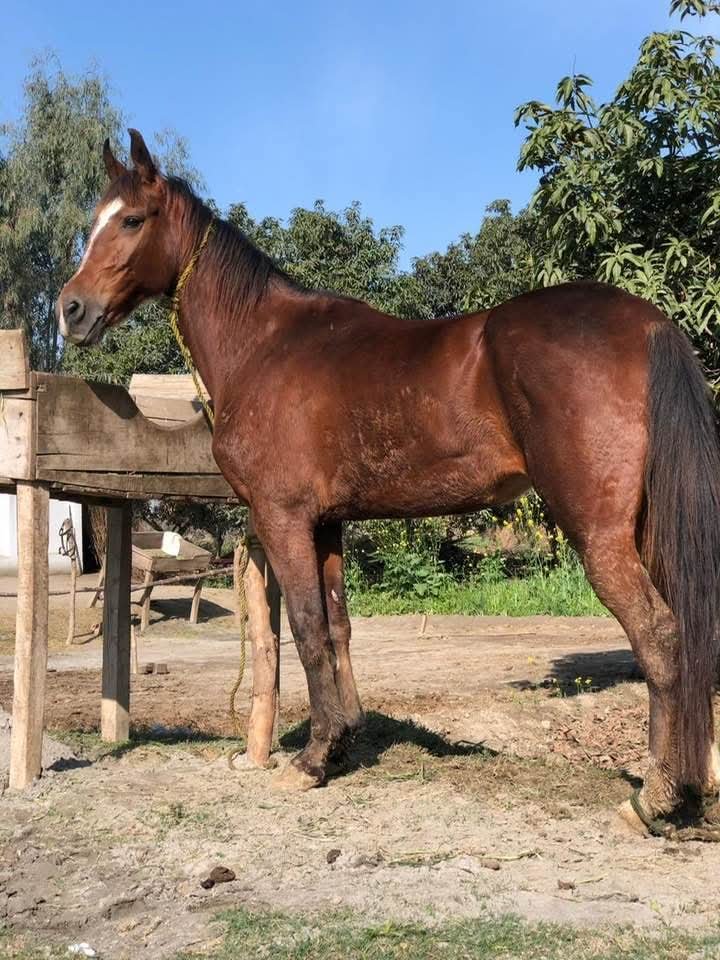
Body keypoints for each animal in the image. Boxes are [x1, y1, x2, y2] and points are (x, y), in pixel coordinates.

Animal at [57, 129, 720, 834]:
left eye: (132, 219)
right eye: (95, 218)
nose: (70, 310)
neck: (265, 344)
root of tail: (648, 323)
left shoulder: (284, 518)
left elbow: (307, 628)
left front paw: (311, 760)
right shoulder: (327, 524)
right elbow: (338, 627)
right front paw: (343, 739)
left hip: (601, 536)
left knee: (660, 636)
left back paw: (656, 795)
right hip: (650, 529)